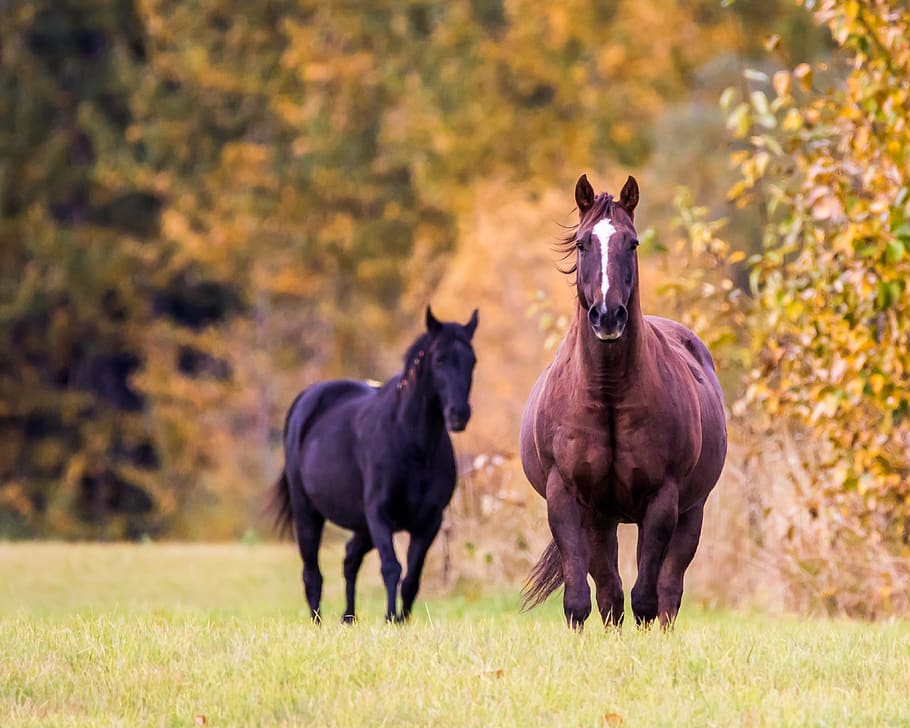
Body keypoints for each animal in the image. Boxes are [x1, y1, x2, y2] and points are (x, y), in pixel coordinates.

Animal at [270, 306, 479, 623]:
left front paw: (401, 620)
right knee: (312, 574)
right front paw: (390, 618)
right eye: (440, 359)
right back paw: (318, 622)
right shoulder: (380, 515)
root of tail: (306, 400)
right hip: (308, 514)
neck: (412, 445)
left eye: (472, 361)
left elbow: (412, 578)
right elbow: (391, 568)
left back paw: (348, 618)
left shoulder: (429, 522)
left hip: (361, 526)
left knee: (349, 560)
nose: (459, 415)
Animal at [519, 174, 727, 630]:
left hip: (691, 514)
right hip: (602, 520)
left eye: (632, 243)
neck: (609, 397)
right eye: (582, 244)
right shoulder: (570, 499)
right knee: (610, 591)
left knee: (667, 591)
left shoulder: (662, 501)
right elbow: (582, 599)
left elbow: (647, 598)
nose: (608, 316)